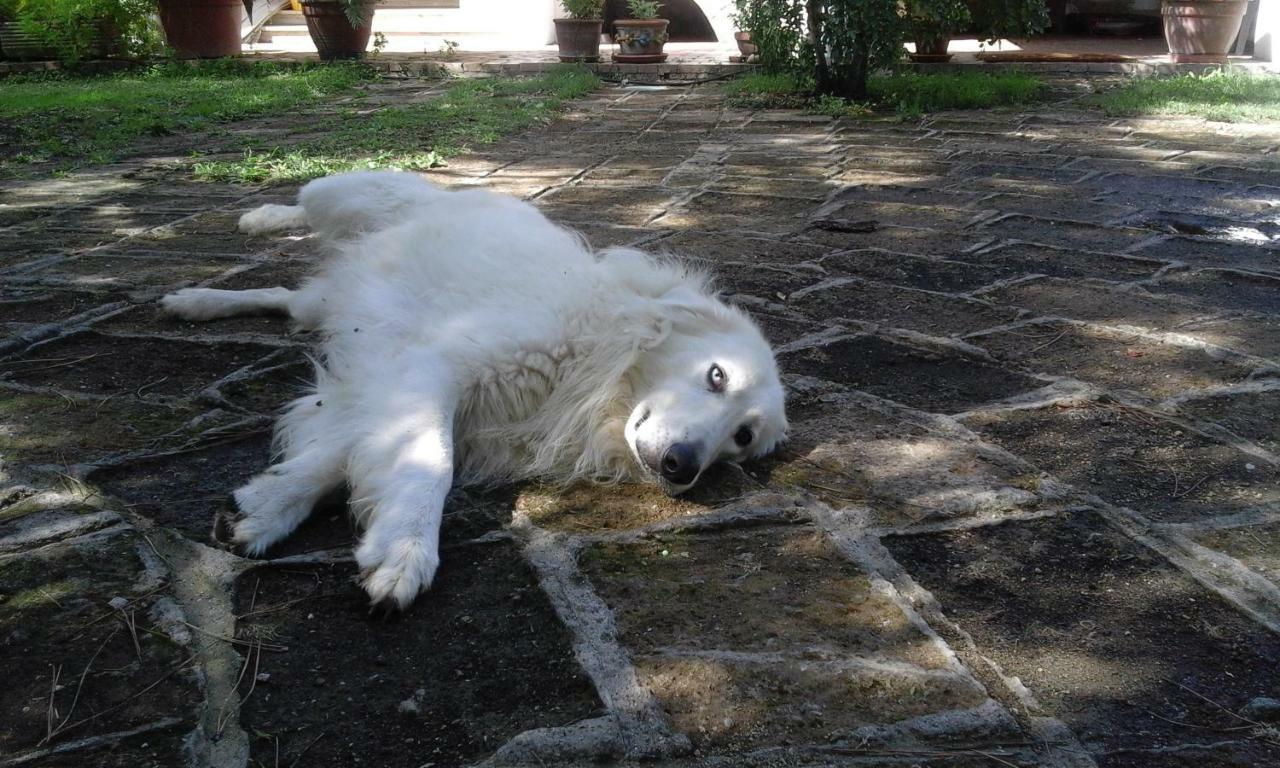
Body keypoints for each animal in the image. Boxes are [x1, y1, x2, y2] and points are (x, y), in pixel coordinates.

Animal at [165, 171, 783, 609]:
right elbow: (427, 461)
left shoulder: (407, 381)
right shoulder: (438, 364)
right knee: (302, 205)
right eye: (717, 375)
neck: (595, 359)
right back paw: (258, 219)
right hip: (343, 194)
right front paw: (407, 550)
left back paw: (195, 301)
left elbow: (347, 452)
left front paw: (264, 508)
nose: (683, 466)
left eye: (742, 439)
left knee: (284, 300)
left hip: (325, 304)